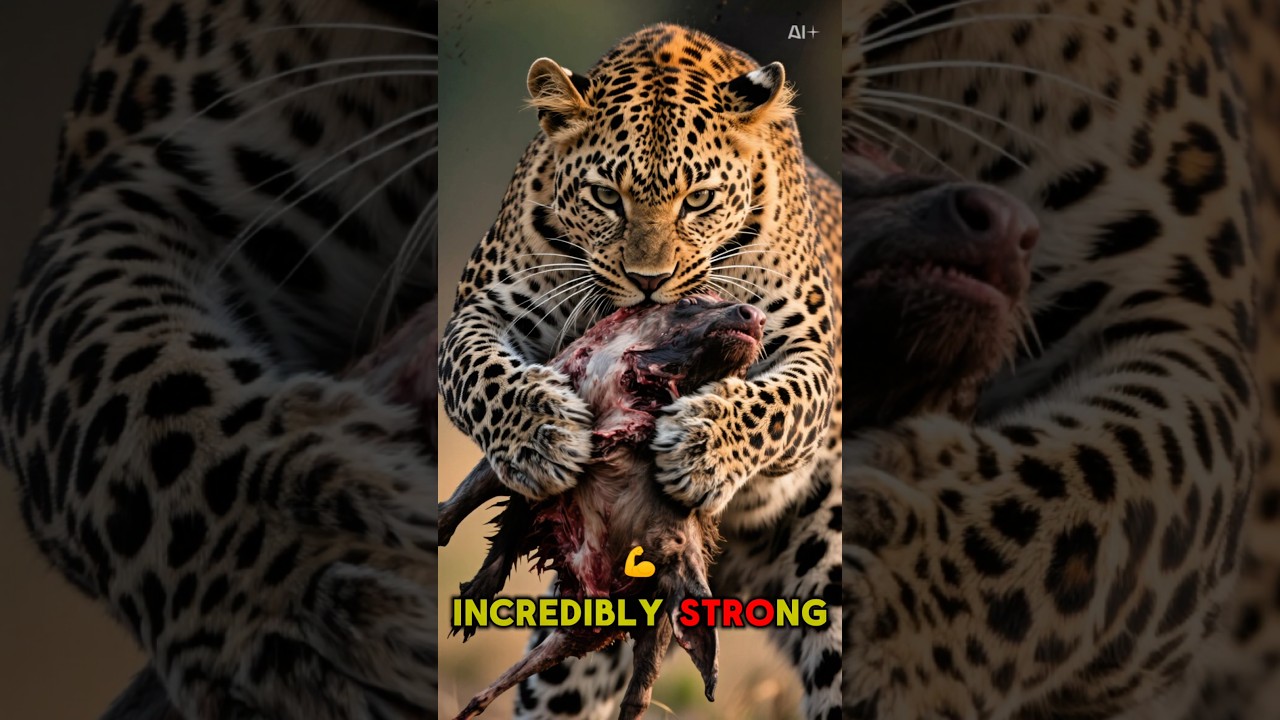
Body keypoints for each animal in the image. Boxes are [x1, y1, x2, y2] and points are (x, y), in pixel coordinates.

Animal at [437, 23, 844, 720]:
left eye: (699, 200)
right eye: (607, 197)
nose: (648, 282)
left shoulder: (811, 351)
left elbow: (777, 403)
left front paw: (705, 446)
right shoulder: (477, 312)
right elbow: (482, 374)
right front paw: (541, 433)